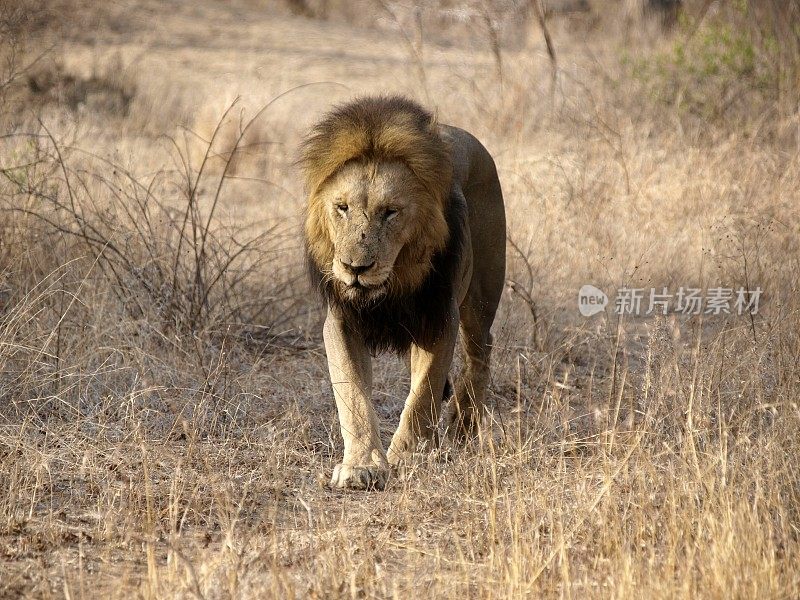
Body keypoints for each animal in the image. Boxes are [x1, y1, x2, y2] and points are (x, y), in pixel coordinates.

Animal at [300, 95, 506, 488]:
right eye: (342, 208)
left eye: (390, 212)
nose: (355, 268)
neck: (392, 286)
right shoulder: (342, 321)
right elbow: (353, 394)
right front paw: (362, 466)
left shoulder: (439, 317)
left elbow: (423, 394)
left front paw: (408, 456)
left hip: (481, 297)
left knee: (481, 351)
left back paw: (462, 425)